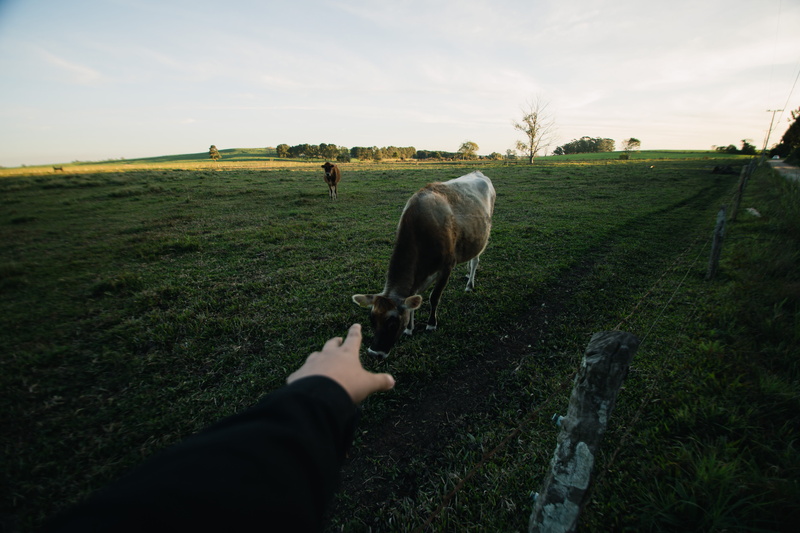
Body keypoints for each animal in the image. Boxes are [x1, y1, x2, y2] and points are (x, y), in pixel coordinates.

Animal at [352, 170, 496, 359]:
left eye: (393, 323)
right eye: (372, 320)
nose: (374, 353)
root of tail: (477, 172)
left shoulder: (446, 267)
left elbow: (434, 298)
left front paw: (431, 324)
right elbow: (413, 302)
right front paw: (409, 329)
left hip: (481, 237)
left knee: (475, 261)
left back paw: (469, 284)